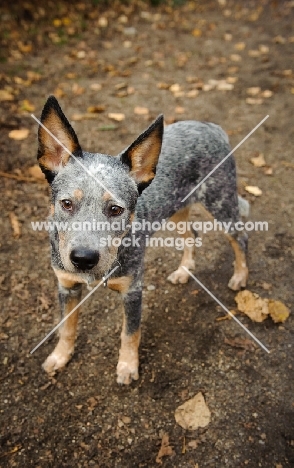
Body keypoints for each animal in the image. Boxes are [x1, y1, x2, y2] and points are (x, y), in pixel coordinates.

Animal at [36, 95, 248, 384]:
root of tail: (211, 126)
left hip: (221, 205)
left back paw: (240, 276)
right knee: (192, 235)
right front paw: (60, 356)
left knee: (241, 238)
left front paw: (127, 366)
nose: (83, 259)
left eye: (116, 209)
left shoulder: (132, 291)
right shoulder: (66, 286)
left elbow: (130, 333)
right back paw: (184, 271)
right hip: (177, 209)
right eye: (66, 203)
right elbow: (66, 327)